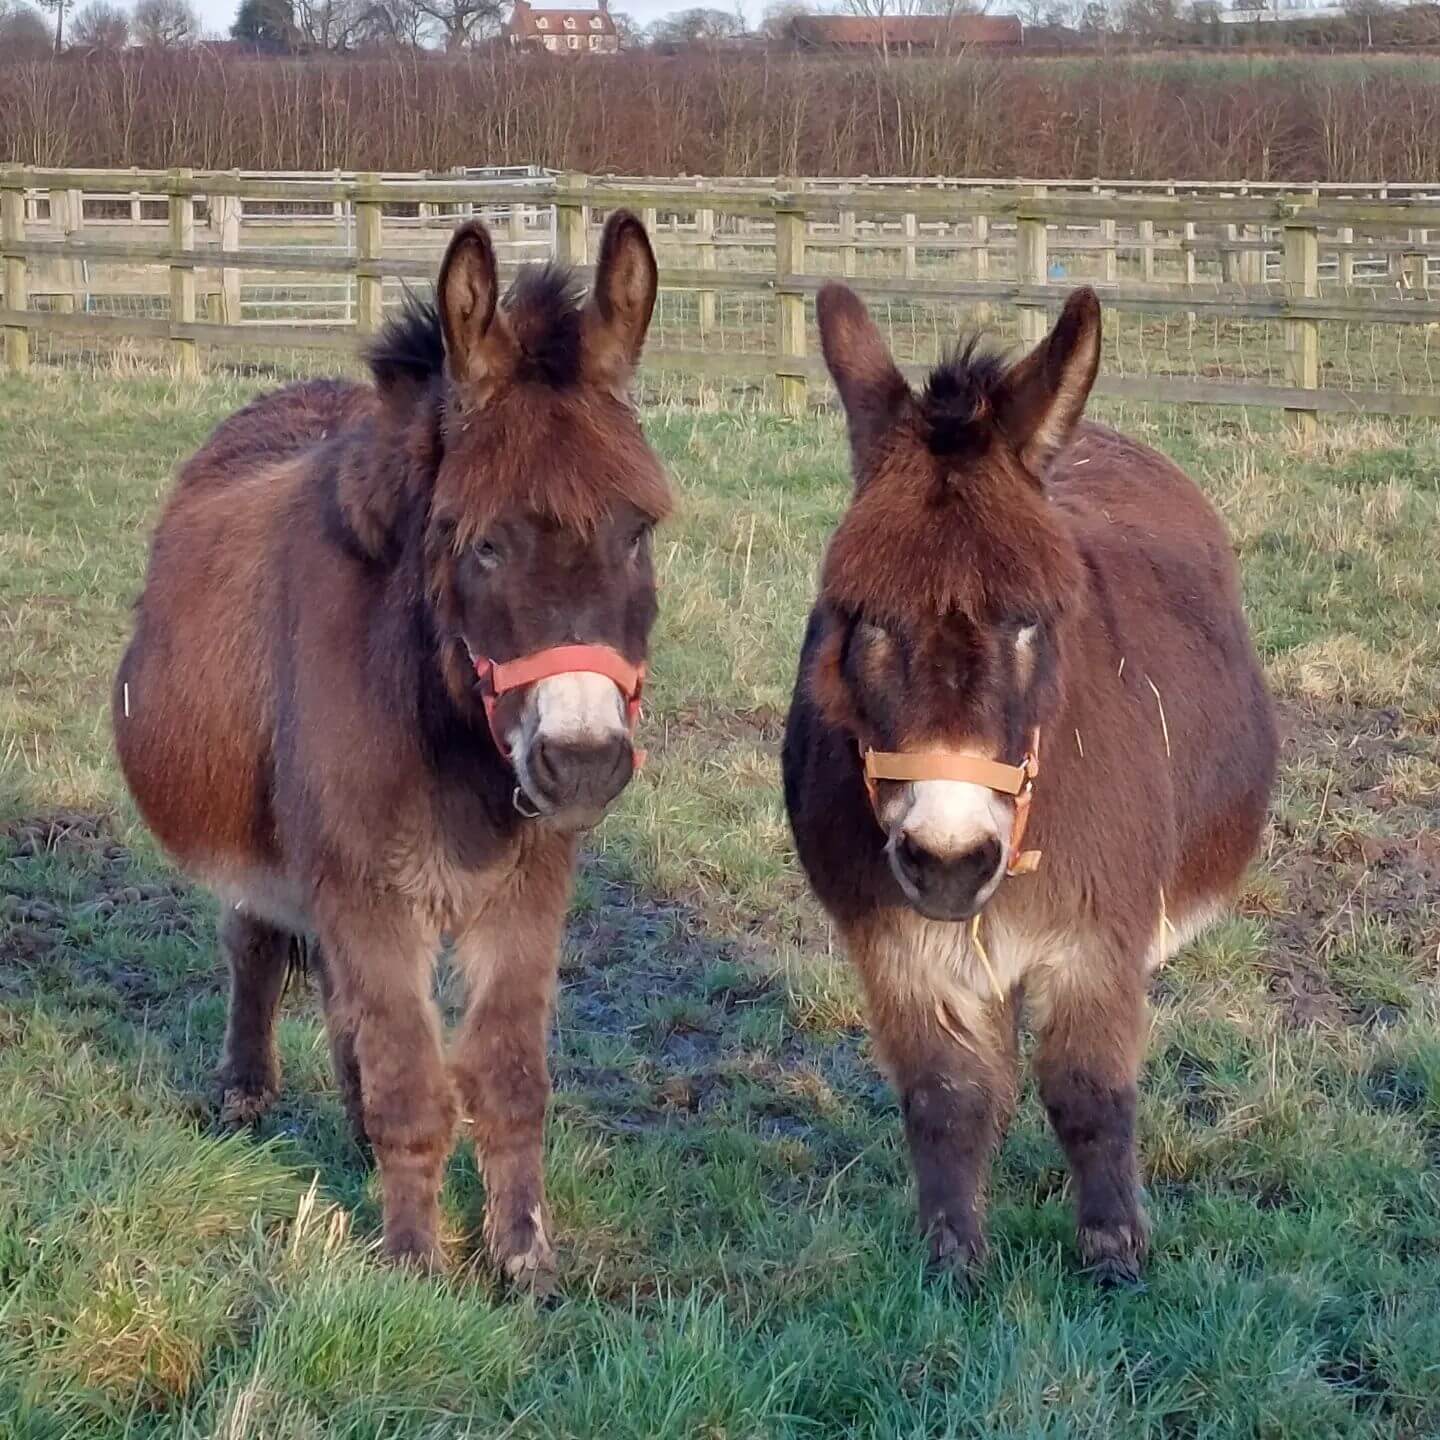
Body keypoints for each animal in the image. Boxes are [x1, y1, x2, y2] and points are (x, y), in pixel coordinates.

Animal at [113, 213, 673, 1289]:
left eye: (636, 533)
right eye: (481, 544)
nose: (584, 762)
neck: (447, 733)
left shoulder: (526, 892)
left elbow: (508, 1077)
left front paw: (524, 1261)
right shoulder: (366, 889)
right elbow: (413, 1080)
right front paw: (414, 1262)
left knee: (337, 1003)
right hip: (267, 849)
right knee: (254, 941)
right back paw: (248, 1093)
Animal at [782, 284, 1277, 1286]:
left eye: (1031, 622)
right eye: (864, 620)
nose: (948, 860)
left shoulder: (1096, 938)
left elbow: (1090, 1091)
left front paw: (1114, 1257)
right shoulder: (900, 947)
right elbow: (946, 1096)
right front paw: (954, 1262)